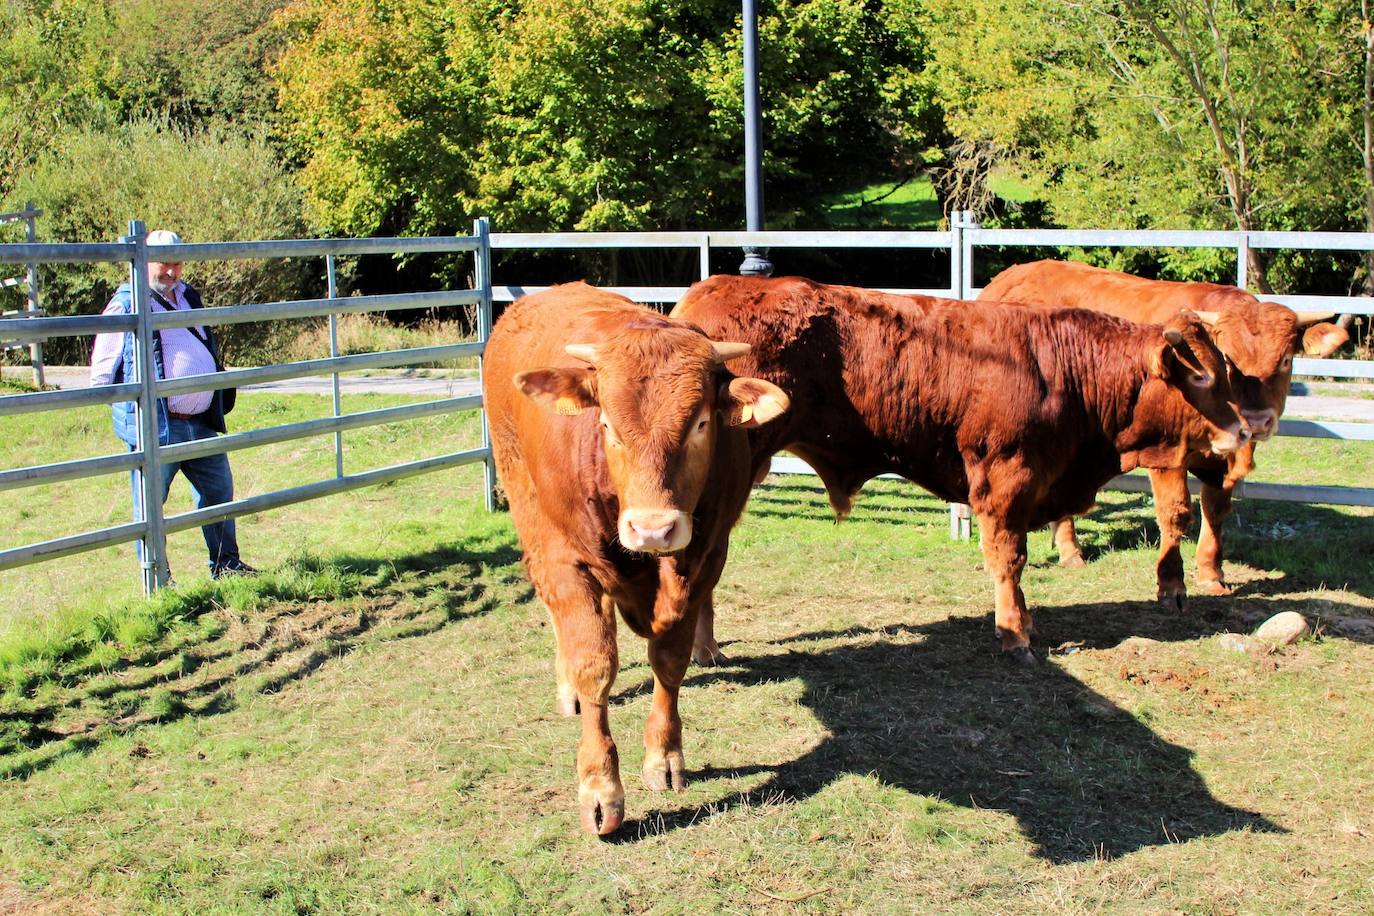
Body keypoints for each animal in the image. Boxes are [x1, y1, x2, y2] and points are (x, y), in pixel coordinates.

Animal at [483, 282, 791, 834]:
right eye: (606, 423)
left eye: (701, 422)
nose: (652, 528)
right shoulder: (570, 560)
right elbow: (594, 665)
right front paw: (599, 787)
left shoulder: (705, 557)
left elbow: (669, 662)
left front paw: (664, 756)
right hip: (528, 506)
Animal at [670, 274, 1253, 667]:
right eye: (1200, 377)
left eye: (1226, 370)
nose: (1246, 430)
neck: (1062, 367)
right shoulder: (1004, 480)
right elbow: (1008, 559)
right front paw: (1015, 632)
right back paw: (705, 648)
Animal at [983, 259, 1346, 601]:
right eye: (1228, 361)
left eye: (1285, 360)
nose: (1256, 420)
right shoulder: (1166, 454)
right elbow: (1175, 511)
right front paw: (1171, 582)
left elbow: (1215, 508)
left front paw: (1211, 572)